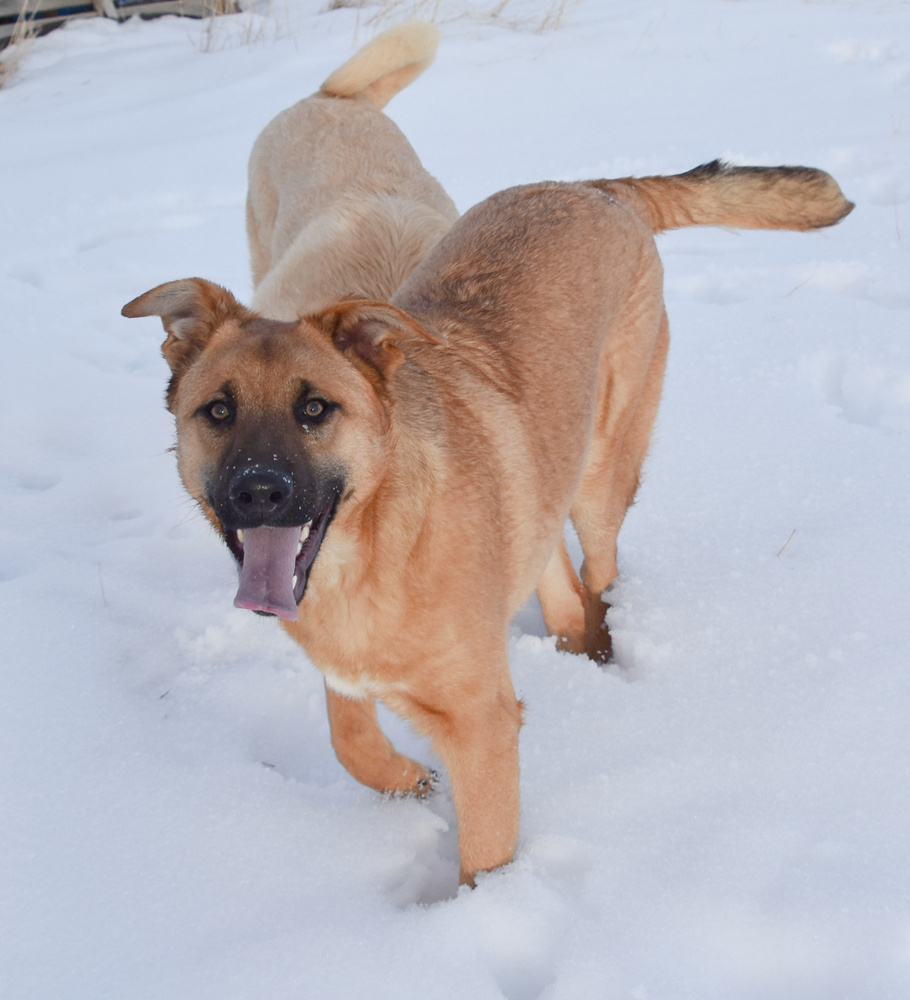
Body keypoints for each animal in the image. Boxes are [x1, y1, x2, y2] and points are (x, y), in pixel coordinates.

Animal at [123, 162, 856, 884]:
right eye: (218, 411)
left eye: (315, 409)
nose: (259, 493)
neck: (376, 546)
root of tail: (593, 188)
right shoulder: (345, 660)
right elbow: (348, 737)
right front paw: (405, 778)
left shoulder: (482, 725)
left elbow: (485, 853)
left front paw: (487, 906)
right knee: (559, 578)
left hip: (602, 473)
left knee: (600, 572)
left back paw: (604, 657)